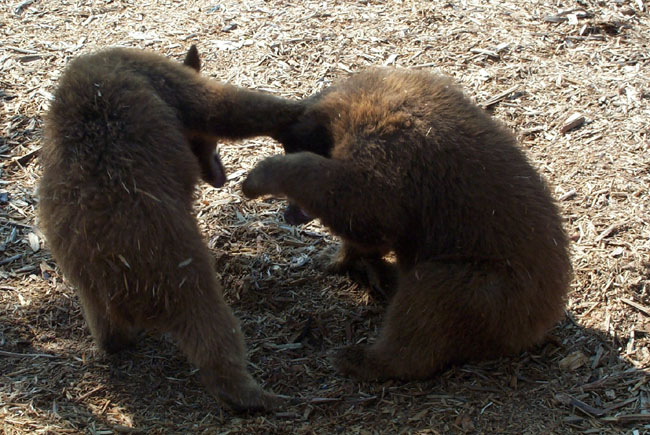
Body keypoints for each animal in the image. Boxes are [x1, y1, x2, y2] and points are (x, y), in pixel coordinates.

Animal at [38, 45, 303, 410]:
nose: (219, 179)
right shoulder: (167, 81)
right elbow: (224, 105)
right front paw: (295, 109)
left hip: (86, 280)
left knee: (104, 323)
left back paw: (114, 341)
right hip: (172, 269)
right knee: (212, 327)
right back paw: (253, 394)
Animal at [242, 68, 573, 381]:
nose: (291, 214)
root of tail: (543, 320)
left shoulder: (388, 151)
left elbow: (364, 205)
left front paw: (260, 176)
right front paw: (335, 259)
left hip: (494, 291)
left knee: (429, 302)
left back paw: (361, 359)